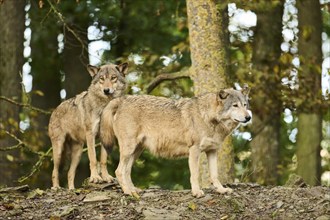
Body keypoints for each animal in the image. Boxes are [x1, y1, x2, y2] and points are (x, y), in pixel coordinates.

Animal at [99, 85, 251, 198]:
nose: (248, 117)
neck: (209, 118)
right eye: (235, 105)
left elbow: (214, 175)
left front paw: (221, 190)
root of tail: (121, 100)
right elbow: (195, 175)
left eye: (245, 105)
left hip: (136, 151)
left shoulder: (212, 151)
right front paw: (196, 192)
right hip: (129, 149)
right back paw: (128, 192)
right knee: (119, 171)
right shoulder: (194, 150)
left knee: (126, 171)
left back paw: (134, 190)